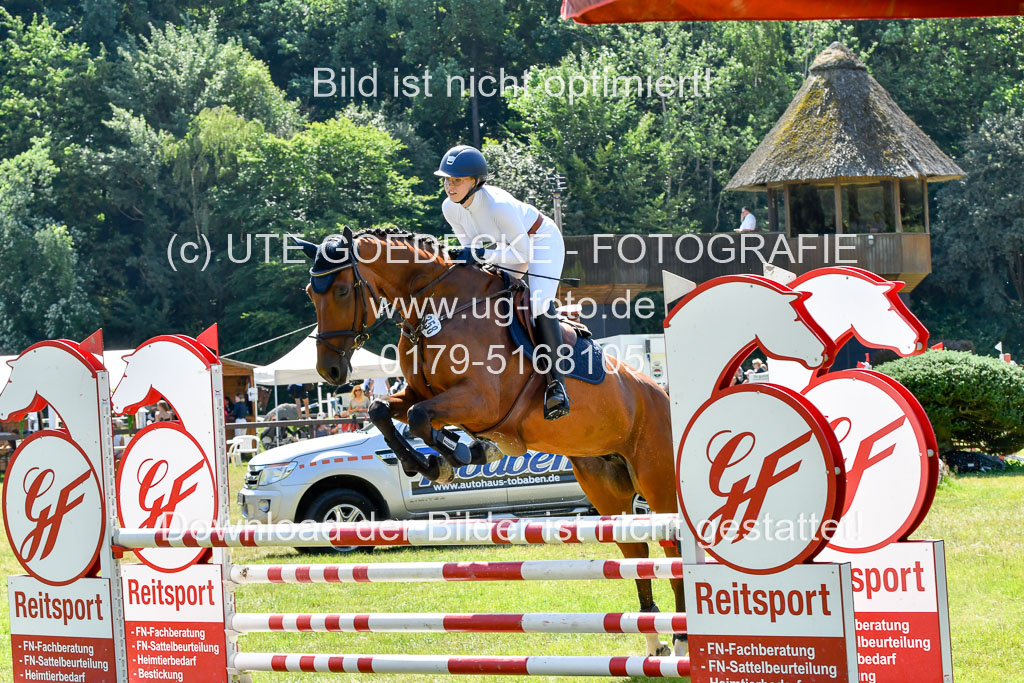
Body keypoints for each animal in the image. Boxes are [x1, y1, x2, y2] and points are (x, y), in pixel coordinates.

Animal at [296, 227, 686, 656]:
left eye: (342, 291)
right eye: (310, 293)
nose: (329, 371)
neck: (437, 308)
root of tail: (663, 395)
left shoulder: (481, 400)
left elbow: (419, 418)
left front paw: (456, 455)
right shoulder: (420, 393)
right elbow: (384, 410)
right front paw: (438, 459)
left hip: (657, 482)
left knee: (672, 548)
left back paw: (682, 638)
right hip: (604, 486)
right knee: (635, 552)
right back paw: (654, 641)